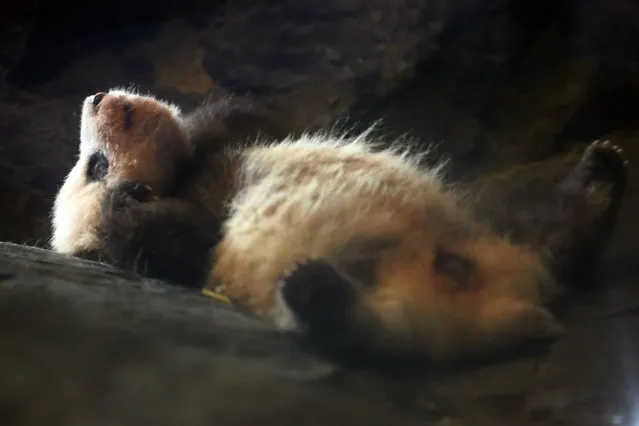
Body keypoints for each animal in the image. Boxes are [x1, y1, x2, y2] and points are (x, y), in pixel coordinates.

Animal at [51, 88, 632, 364]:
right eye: (96, 165)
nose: (96, 98)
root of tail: (508, 303)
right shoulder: (190, 232)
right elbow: (178, 240)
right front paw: (132, 204)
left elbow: (251, 123)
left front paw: (206, 117)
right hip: (408, 314)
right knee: (376, 334)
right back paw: (315, 289)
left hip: (480, 224)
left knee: (548, 233)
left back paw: (599, 177)